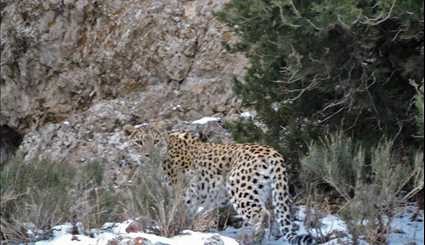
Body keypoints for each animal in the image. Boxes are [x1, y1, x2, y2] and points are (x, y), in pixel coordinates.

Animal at [124, 125, 314, 244]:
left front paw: (183, 232)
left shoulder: (183, 193)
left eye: (155, 142)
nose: (149, 154)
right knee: (276, 215)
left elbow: (180, 214)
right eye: (139, 143)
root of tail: (272, 151)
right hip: (269, 192)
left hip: (241, 191)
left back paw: (251, 240)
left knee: (262, 215)